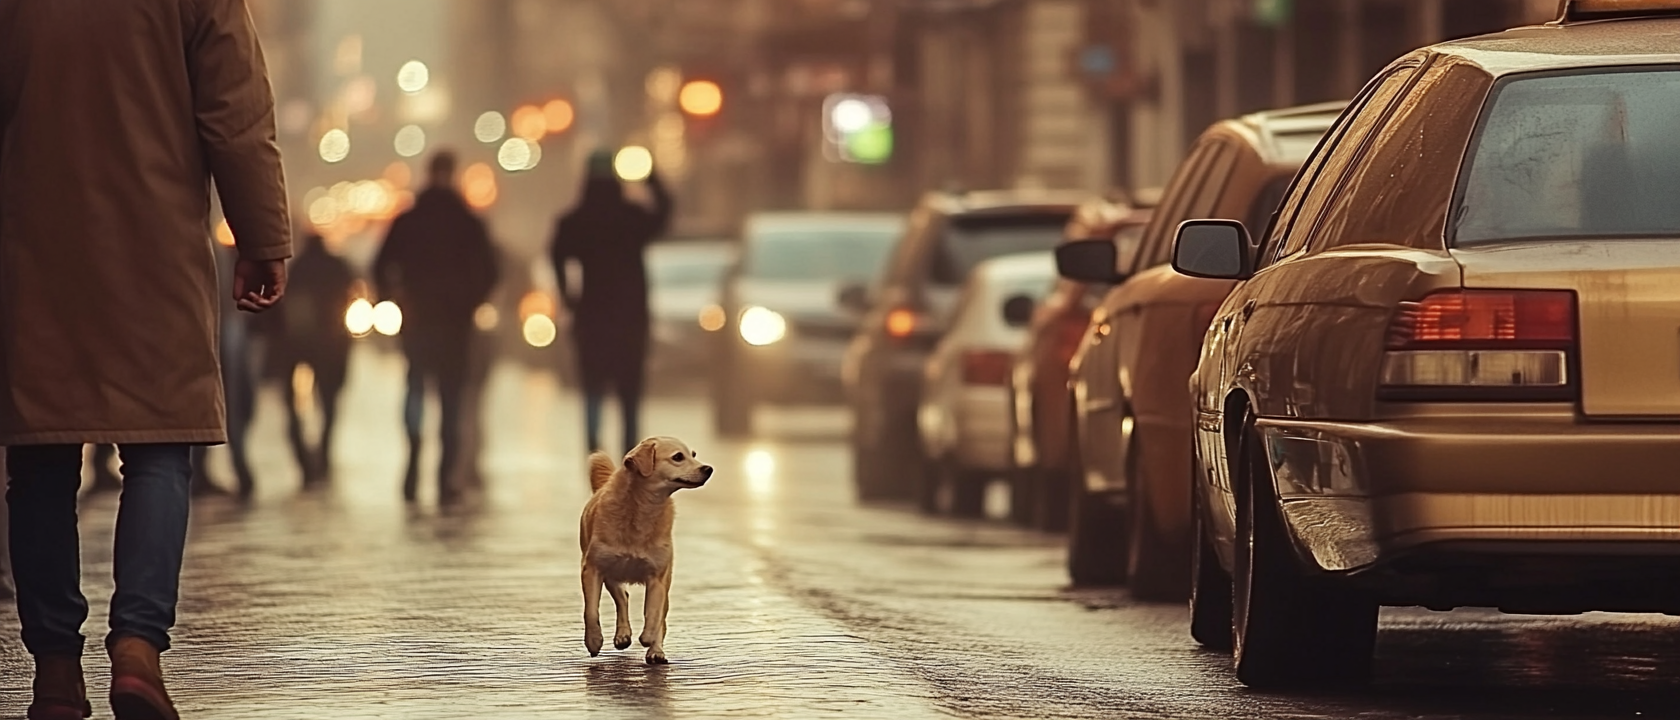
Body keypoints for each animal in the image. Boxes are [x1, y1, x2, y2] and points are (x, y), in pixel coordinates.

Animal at [581, 433, 712, 661]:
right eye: (678, 457)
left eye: (693, 455)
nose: (708, 468)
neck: (642, 510)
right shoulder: (592, 569)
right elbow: (591, 610)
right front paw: (594, 641)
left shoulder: (657, 577)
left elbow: (653, 613)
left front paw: (649, 638)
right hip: (611, 573)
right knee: (622, 598)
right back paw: (623, 635)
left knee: (660, 616)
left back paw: (655, 651)